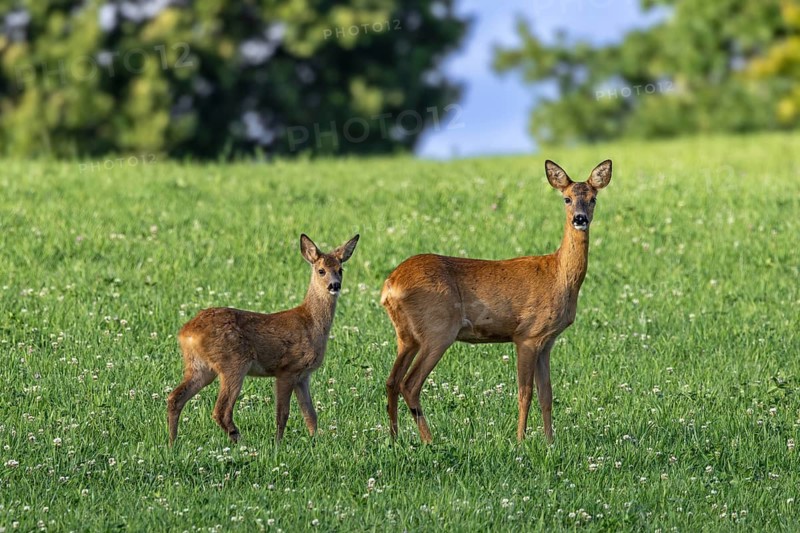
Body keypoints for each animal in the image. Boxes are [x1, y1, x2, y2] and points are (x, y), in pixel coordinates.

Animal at [167, 233, 360, 446]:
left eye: (340, 269)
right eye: (321, 270)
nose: (335, 285)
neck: (311, 322)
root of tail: (186, 333)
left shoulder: (303, 375)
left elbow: (310, 414)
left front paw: (314, 441)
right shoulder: (287, 369)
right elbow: (283, 414)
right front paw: (278, 443)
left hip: (200, 367)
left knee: (175, 398)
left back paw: (172, 443)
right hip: (233, 362)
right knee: (221, 410)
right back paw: (239, 440)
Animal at [381, 160, 612, 444]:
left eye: (593, 198)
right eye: (566, 198)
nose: (580, 218)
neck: (559, 275)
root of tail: (390, 284)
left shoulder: (547, 341)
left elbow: (547, 395)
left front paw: (550, 442)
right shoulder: (527, 335)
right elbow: (525, 393)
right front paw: (521, 441)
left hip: (407, 336)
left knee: (392, 381)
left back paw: (394, 438)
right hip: (438, 329)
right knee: (410, 384)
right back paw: (430, 440)